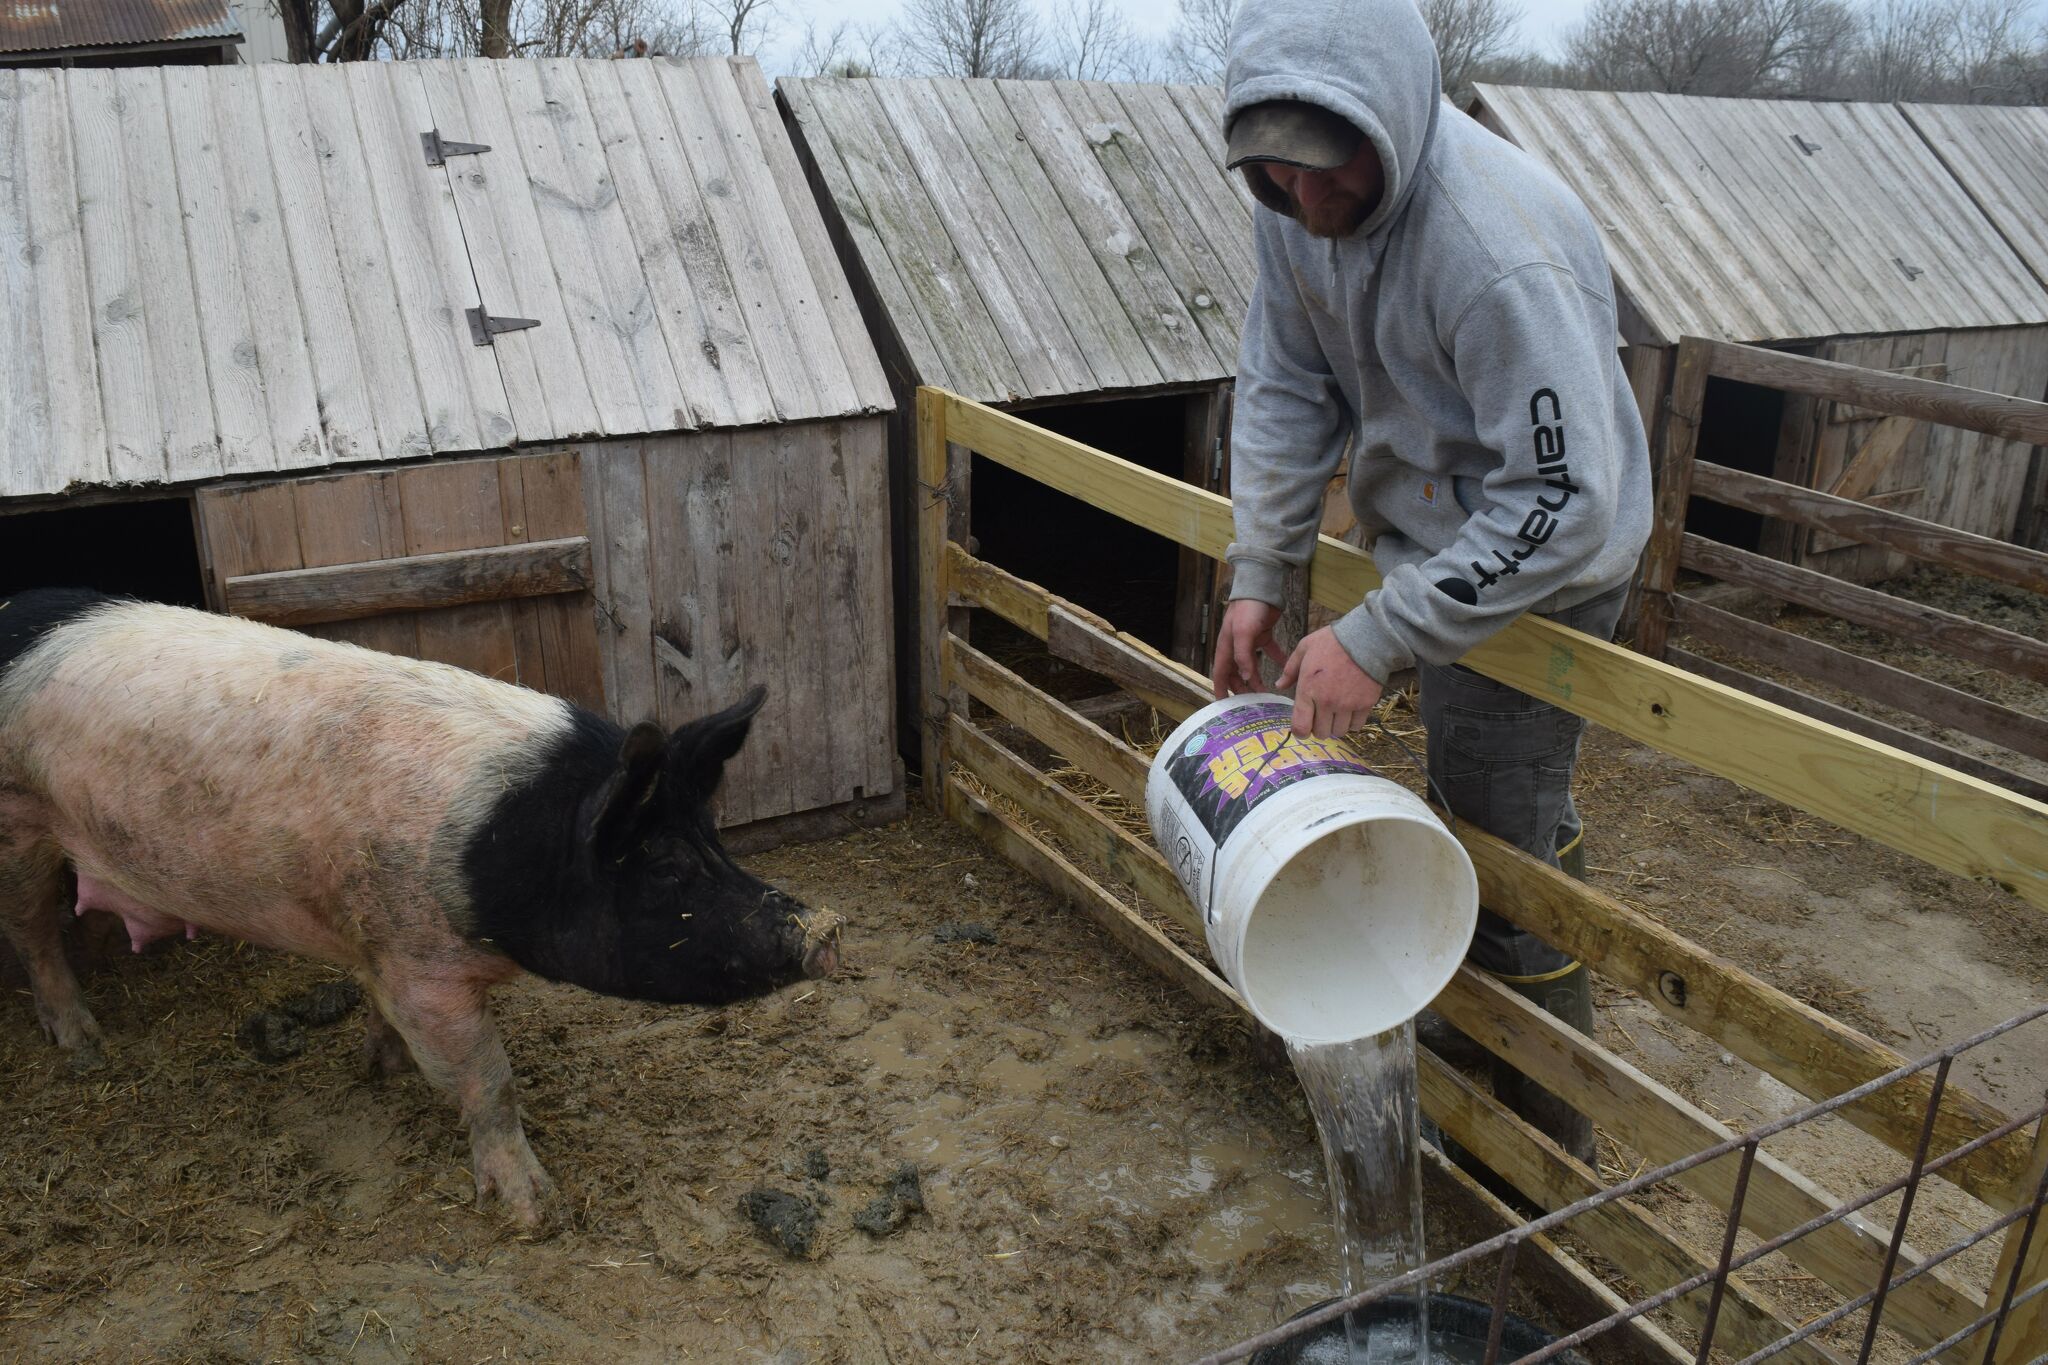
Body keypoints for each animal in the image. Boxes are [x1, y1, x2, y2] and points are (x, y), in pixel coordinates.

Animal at [2, 589, 839, 1227]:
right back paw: (82, 1043)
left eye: (713, 836)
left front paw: (385, 1067)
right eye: (663, 867)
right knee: (34, 932)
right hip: (19, 823)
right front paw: (536, 1212)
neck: (510, 841)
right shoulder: (421, 960)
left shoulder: (380, 941)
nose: (826, 930)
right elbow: (491, 1077)